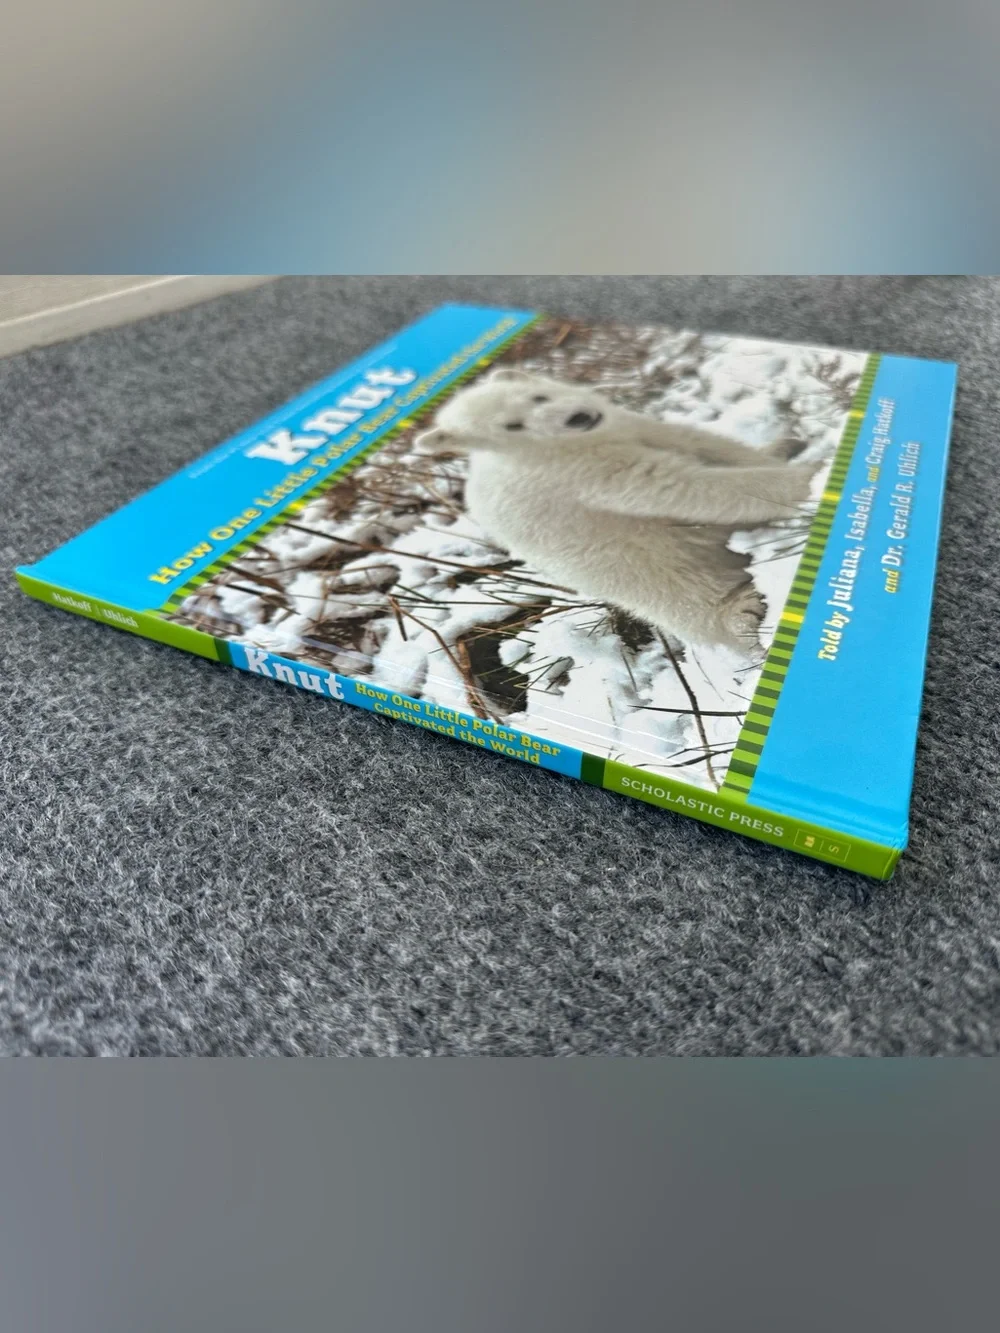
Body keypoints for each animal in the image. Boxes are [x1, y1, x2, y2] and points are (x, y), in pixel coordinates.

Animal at [414, 367, 821, 655]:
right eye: (513, 426)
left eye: (537, 396)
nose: (577, 417)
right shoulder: (582, 476)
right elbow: (679, 486)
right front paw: (811, 478)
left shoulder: (625, 426)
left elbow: (698, 441)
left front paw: (788, 447)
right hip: (658, 577)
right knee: (707, 606)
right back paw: (747, 614)